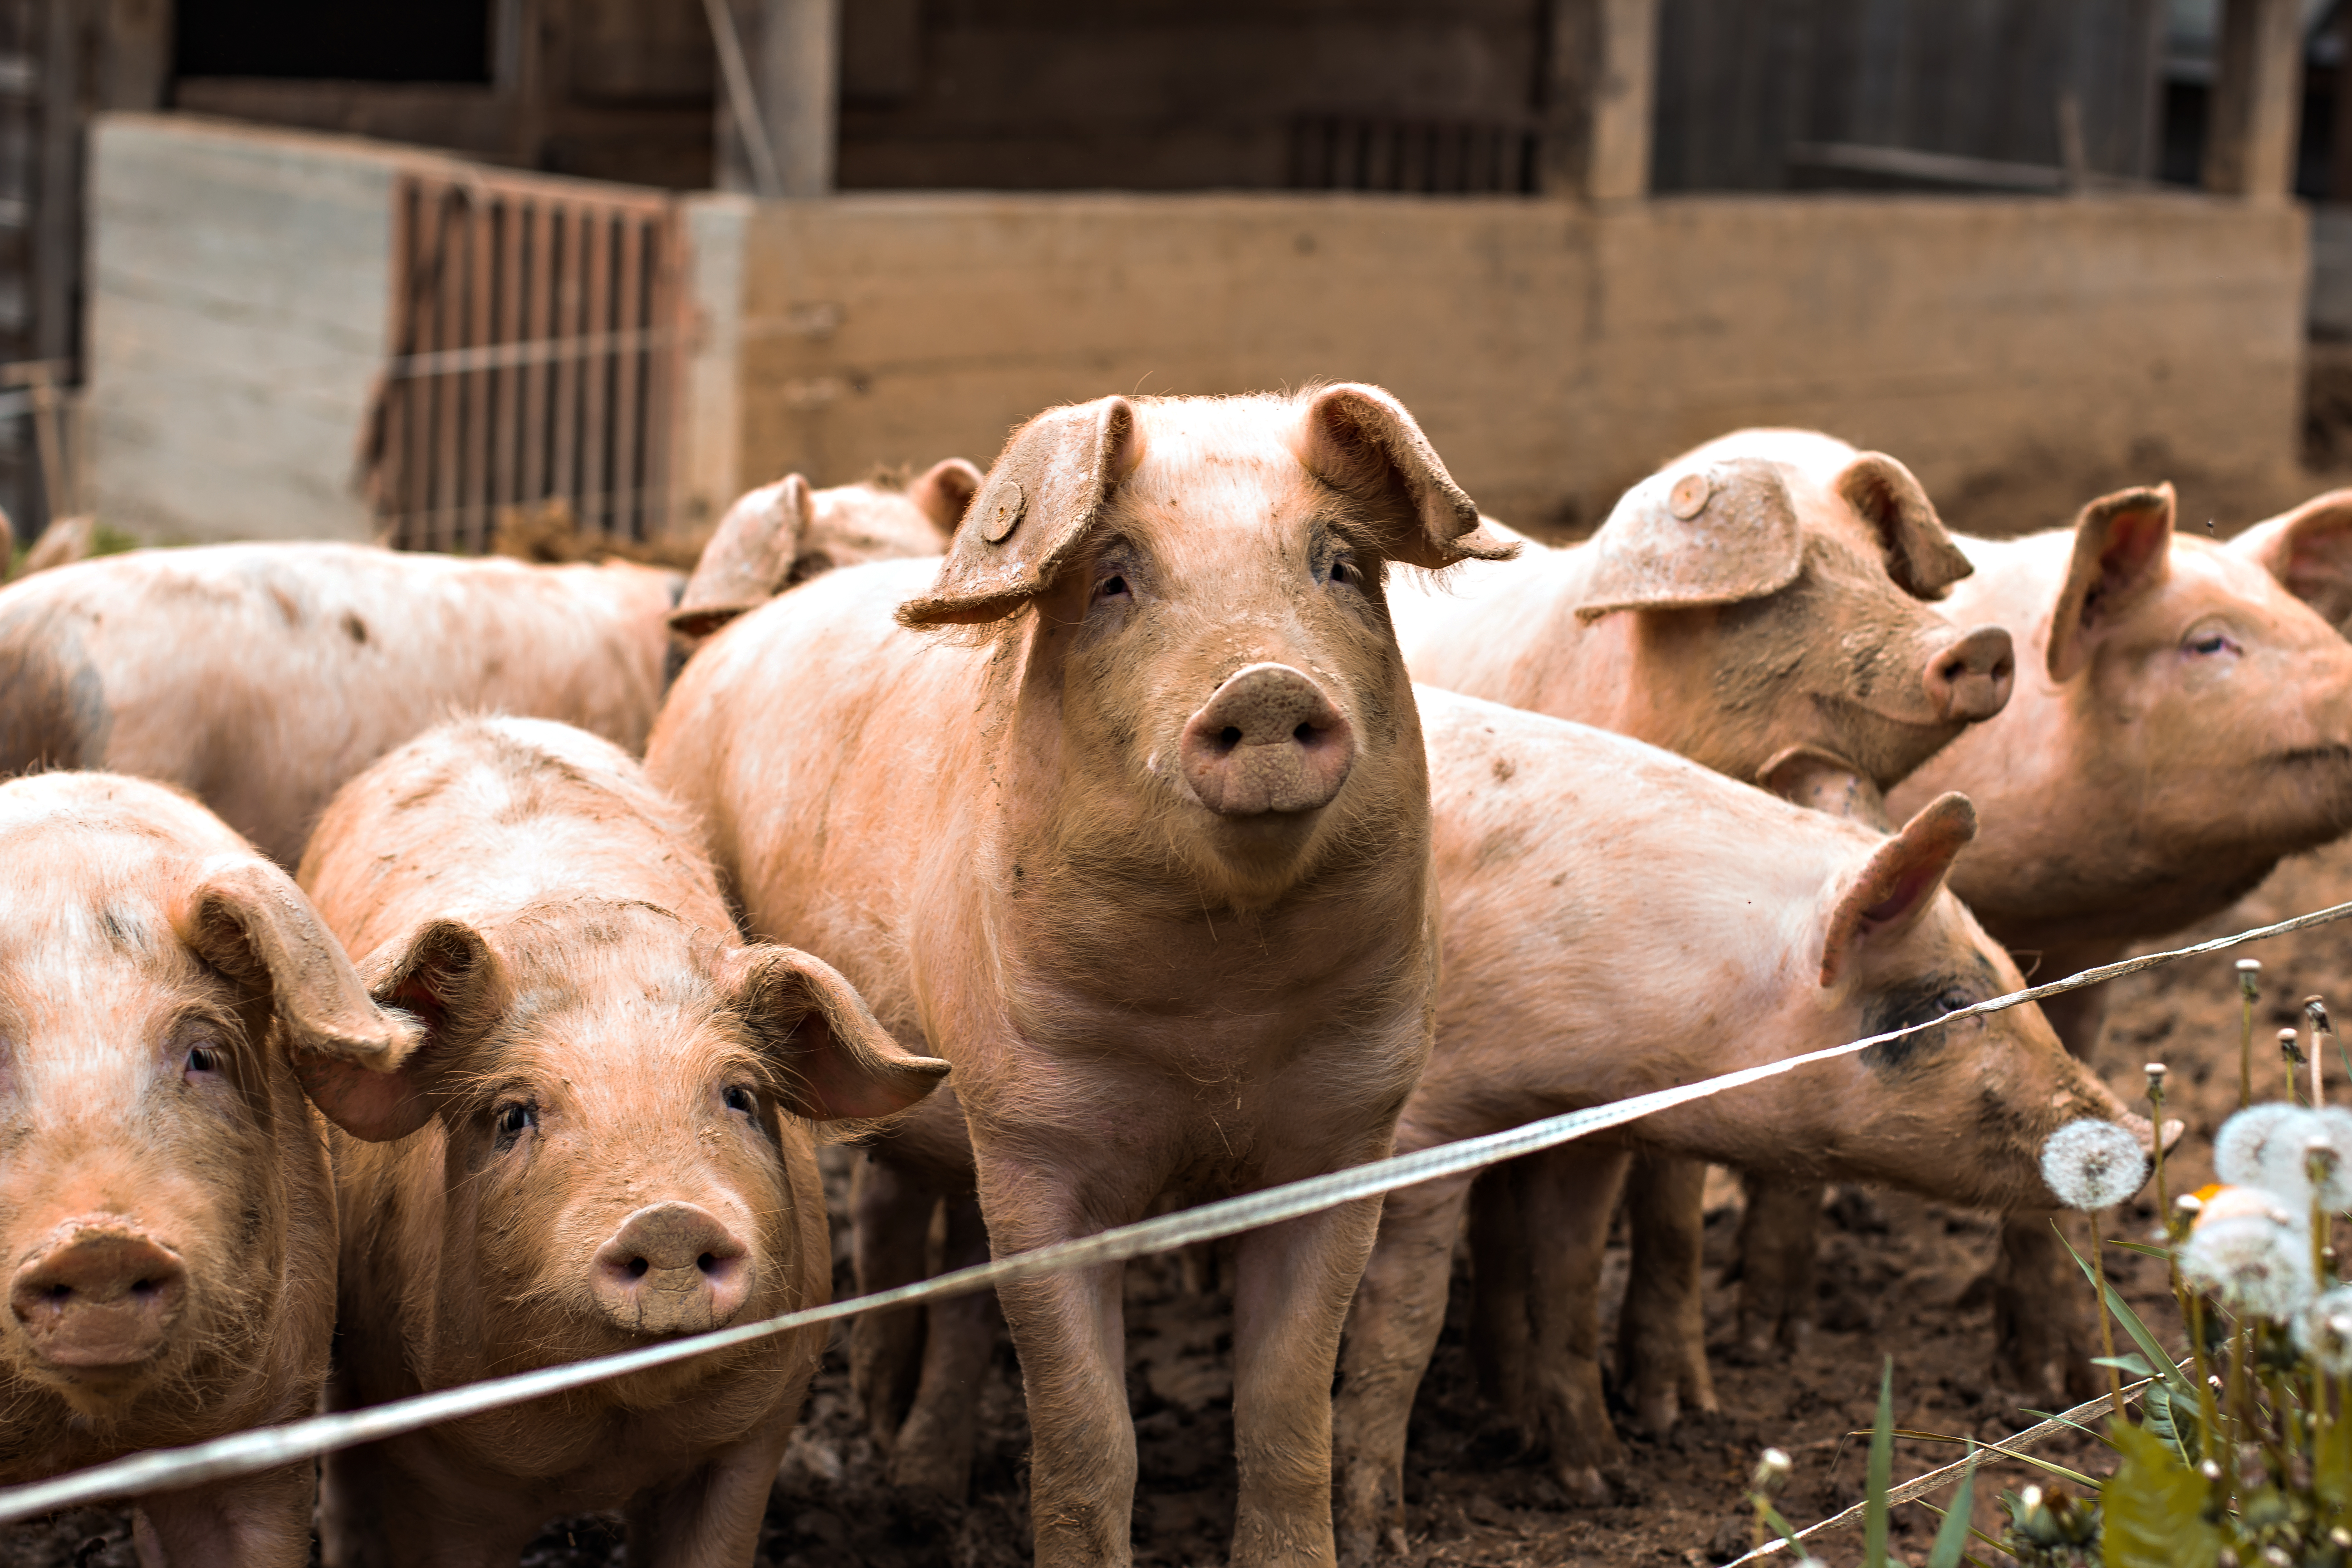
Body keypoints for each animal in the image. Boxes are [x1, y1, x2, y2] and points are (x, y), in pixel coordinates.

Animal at [292, 715, 947, 1568]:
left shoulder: (755, 1432)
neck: (611, 1438)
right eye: (514, 1115)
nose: (668, 1219)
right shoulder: (430, 1467)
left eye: (739, 1096)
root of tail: (471, 720)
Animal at [1330, 692, 2142, 1559]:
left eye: (2016, 973)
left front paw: (1604, 1481)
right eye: (1950, 1004)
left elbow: (1571, 1287)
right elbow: (1405, 1324)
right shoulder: (1424, 1133)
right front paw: (1373, 1541)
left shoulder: (1580, 1136)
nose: (2148, 1134)